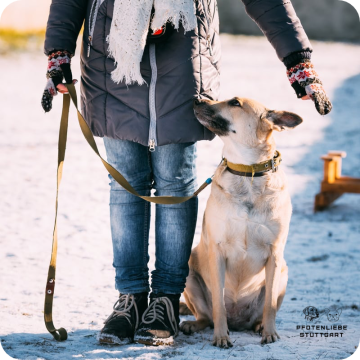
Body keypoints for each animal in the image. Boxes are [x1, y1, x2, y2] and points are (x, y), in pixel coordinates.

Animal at [179, 97, 302, 348]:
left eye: (235, 102)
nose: (197, 99)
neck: (248, 171)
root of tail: (238, 322)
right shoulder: (217, 251)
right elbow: (218, 305)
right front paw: (221, 336)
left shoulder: (275, 254)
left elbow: (270, 306)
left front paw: (270, 333)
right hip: (188, 271)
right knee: (205, 316)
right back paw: (195, 325)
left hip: (284, 272)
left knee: (263, 311)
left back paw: (260, 326)